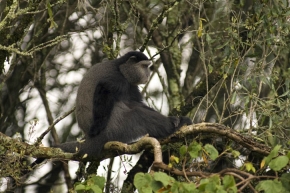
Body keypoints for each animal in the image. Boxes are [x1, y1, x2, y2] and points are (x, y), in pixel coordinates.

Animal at [57, 51, 193, 157]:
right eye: (144, 66)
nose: (148, 74)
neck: (120, 67)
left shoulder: (130, 85)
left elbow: (134, 102)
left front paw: (174, 118)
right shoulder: (117, 79)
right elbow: (104, 89)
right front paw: (95, 129)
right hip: (116, 129)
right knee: (138, 114)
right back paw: (175, 126)